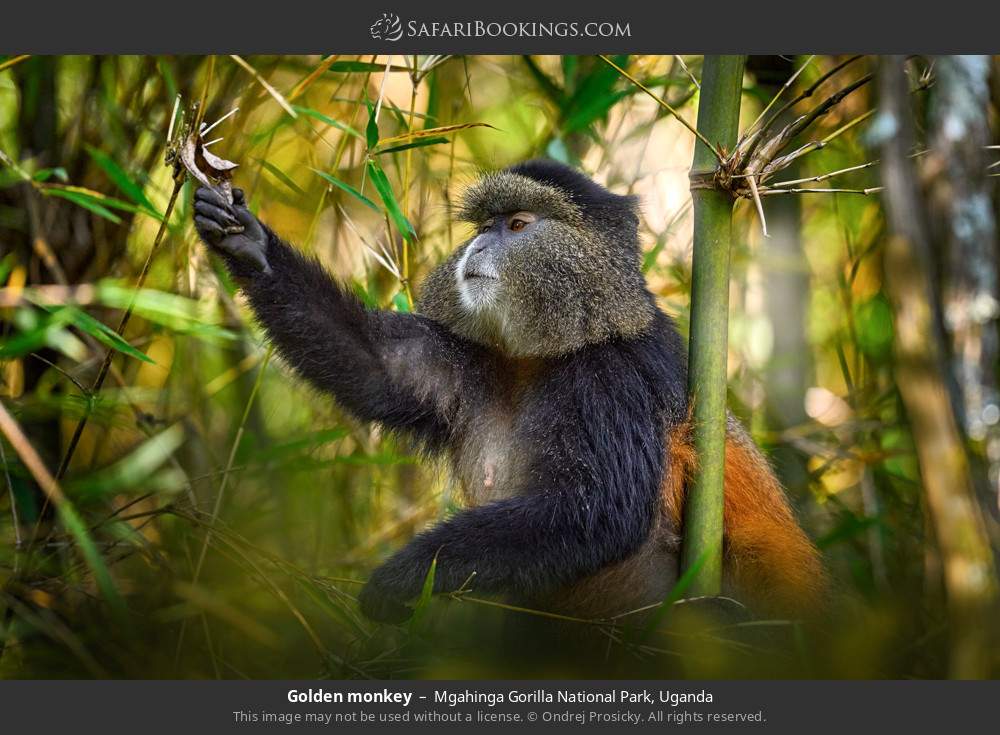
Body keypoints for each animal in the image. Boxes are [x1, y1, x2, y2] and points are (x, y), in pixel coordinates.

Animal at [193, 159, 826, 625]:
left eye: (518, 225)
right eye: (482, 227)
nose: (476, 248)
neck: (545, 356)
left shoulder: (614, 378)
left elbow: (596, 509)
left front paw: (402, 578)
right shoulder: (473, 362)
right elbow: (377, 366)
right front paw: (248, 242)